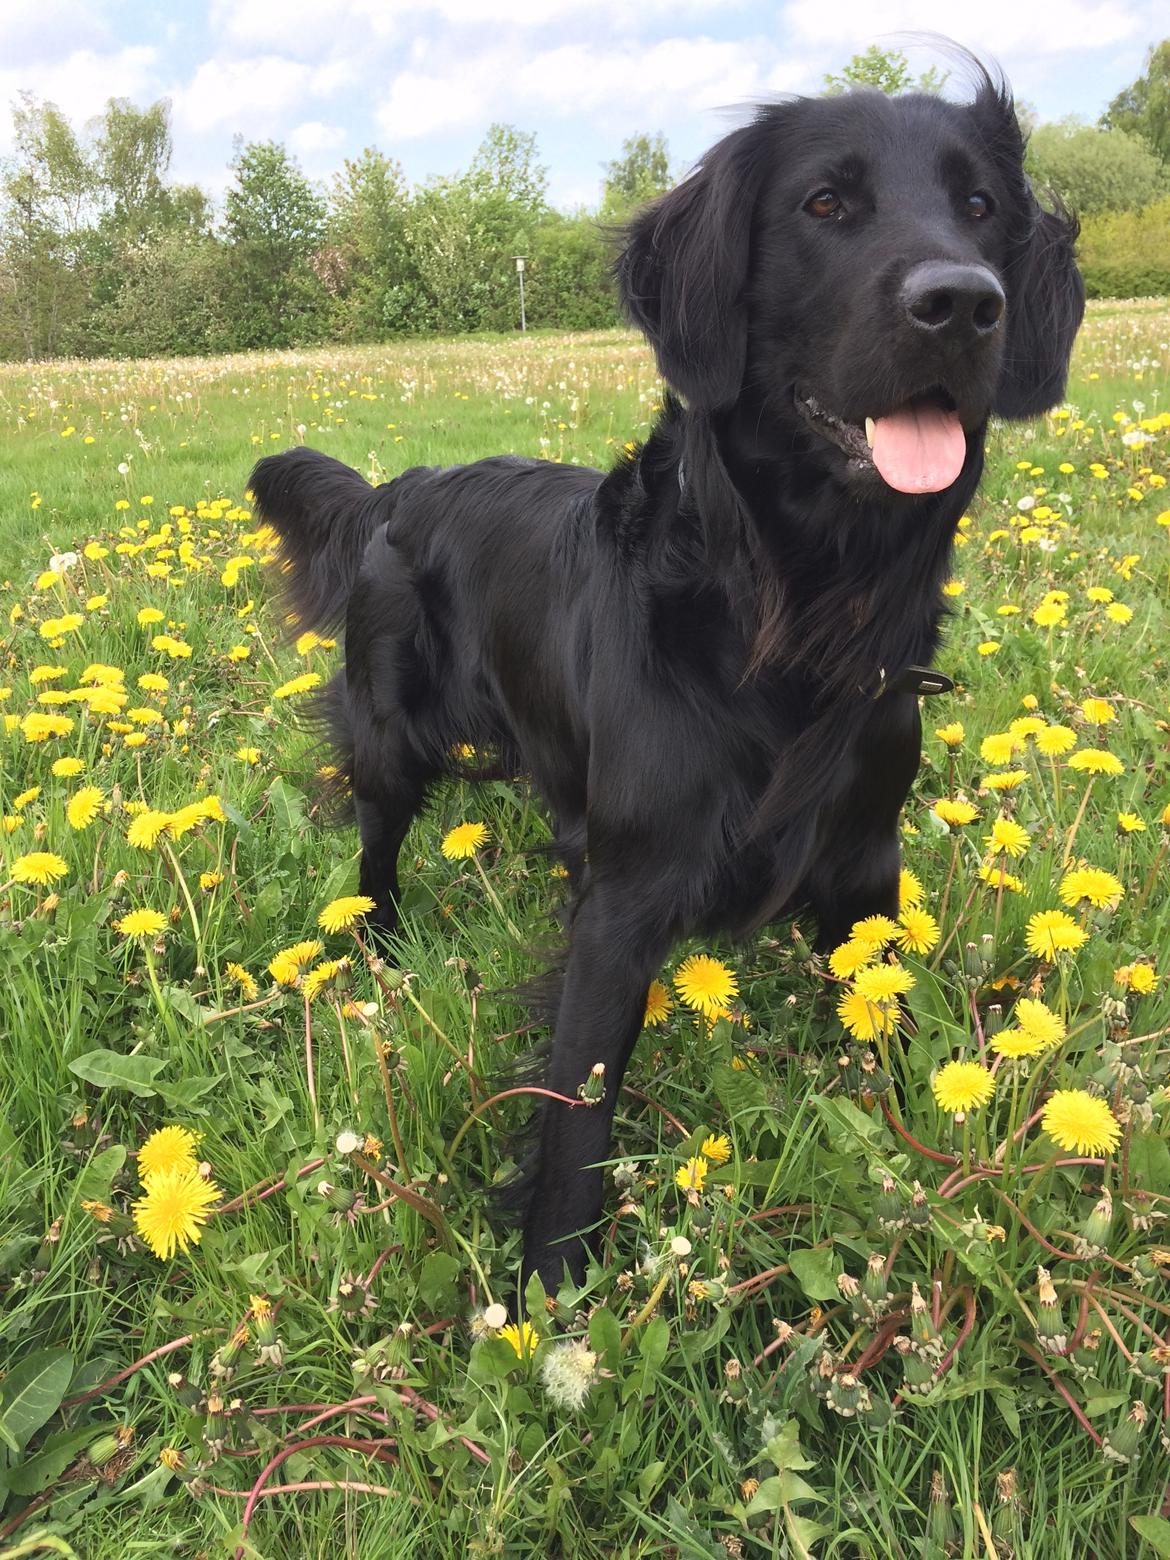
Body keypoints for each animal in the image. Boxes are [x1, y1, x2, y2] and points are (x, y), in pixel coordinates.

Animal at [252, 63, 1085, 1291]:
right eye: (825, 205)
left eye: (980, 207)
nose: (964, 303)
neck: (788, 614)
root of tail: (400, 485)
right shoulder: (626, 901)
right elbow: (580, 1105)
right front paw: (550, 1285)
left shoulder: (864, 861)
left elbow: (883, 1007)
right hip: (390, 739)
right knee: (374, 841)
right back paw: (378, 936)